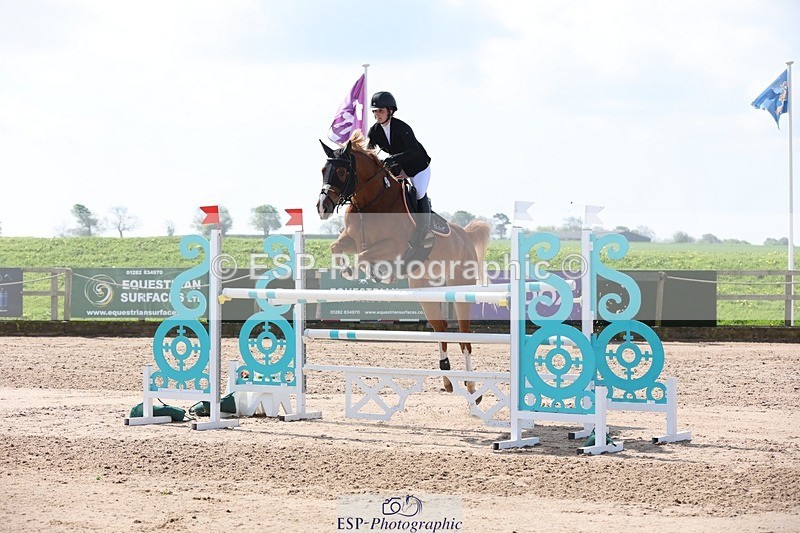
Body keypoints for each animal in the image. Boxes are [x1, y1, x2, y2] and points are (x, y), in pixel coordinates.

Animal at [316, 131, 491, 399]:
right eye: (323, 170)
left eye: (343, 172)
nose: (322, 207)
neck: (370, 203)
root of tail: (465, 236)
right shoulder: (352, 239)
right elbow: (336, 248)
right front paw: (346, 270)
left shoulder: (394, 246)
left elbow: (364, 257)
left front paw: (370, 273)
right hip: (425, 290)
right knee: (441, 328)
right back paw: (447, 379)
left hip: (461, 289)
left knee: (464, 337)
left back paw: (472, 387)